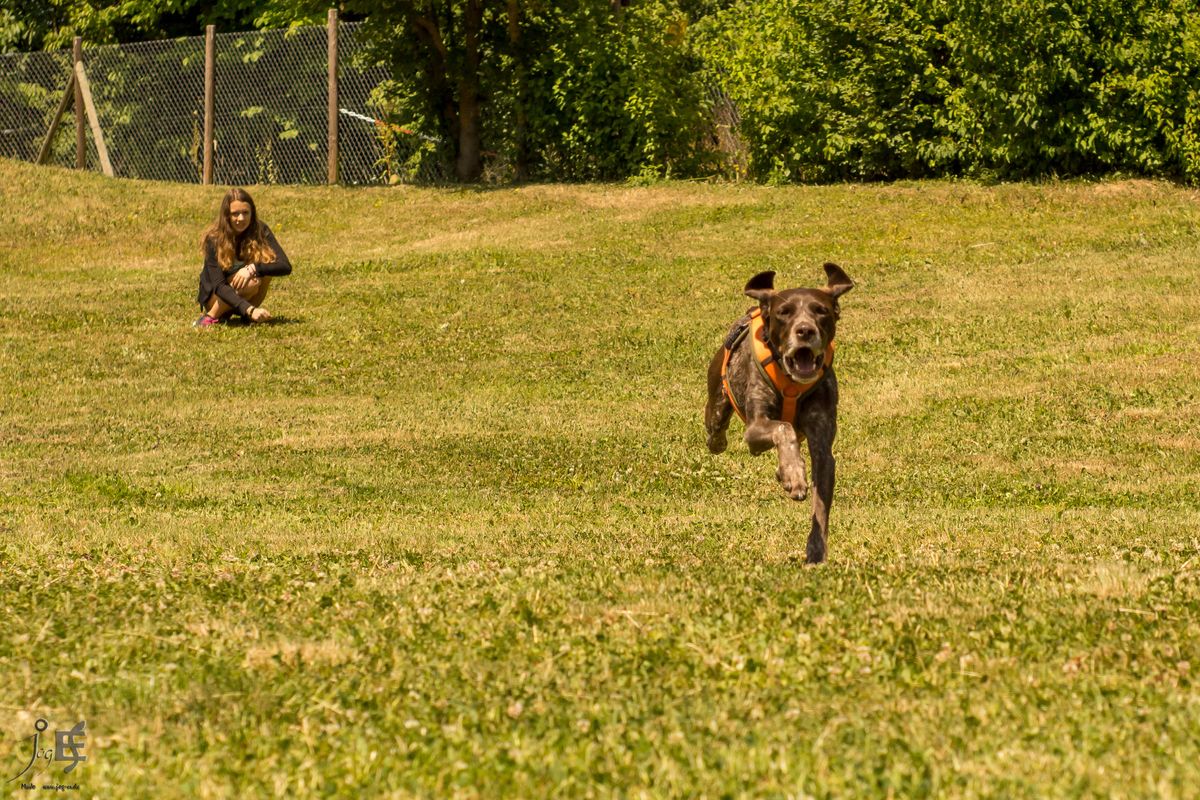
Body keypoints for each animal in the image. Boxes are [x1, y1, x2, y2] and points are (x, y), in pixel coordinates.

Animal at [700, 262, 854, 563]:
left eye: (821, 311)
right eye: (785, 312)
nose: (805, 330)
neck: (792, 383)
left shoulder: (823, 446)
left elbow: (820, 508)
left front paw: (816, 552)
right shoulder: (755, 426)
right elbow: (784, 428)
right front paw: (793, 474)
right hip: (717, 410)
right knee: (717, 431)